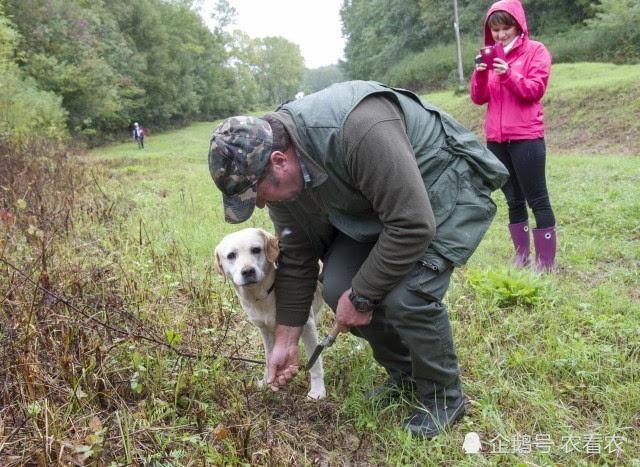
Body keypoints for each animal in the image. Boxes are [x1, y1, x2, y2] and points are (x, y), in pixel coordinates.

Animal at [214, 229, 324, 400]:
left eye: (256, 250)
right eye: (231, 255)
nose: (248, 271)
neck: (262, 296)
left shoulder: (308, 325)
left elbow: (315, 361)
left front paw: (318, 391)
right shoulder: (266, 330)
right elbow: (269, 358)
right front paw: (266, 383)